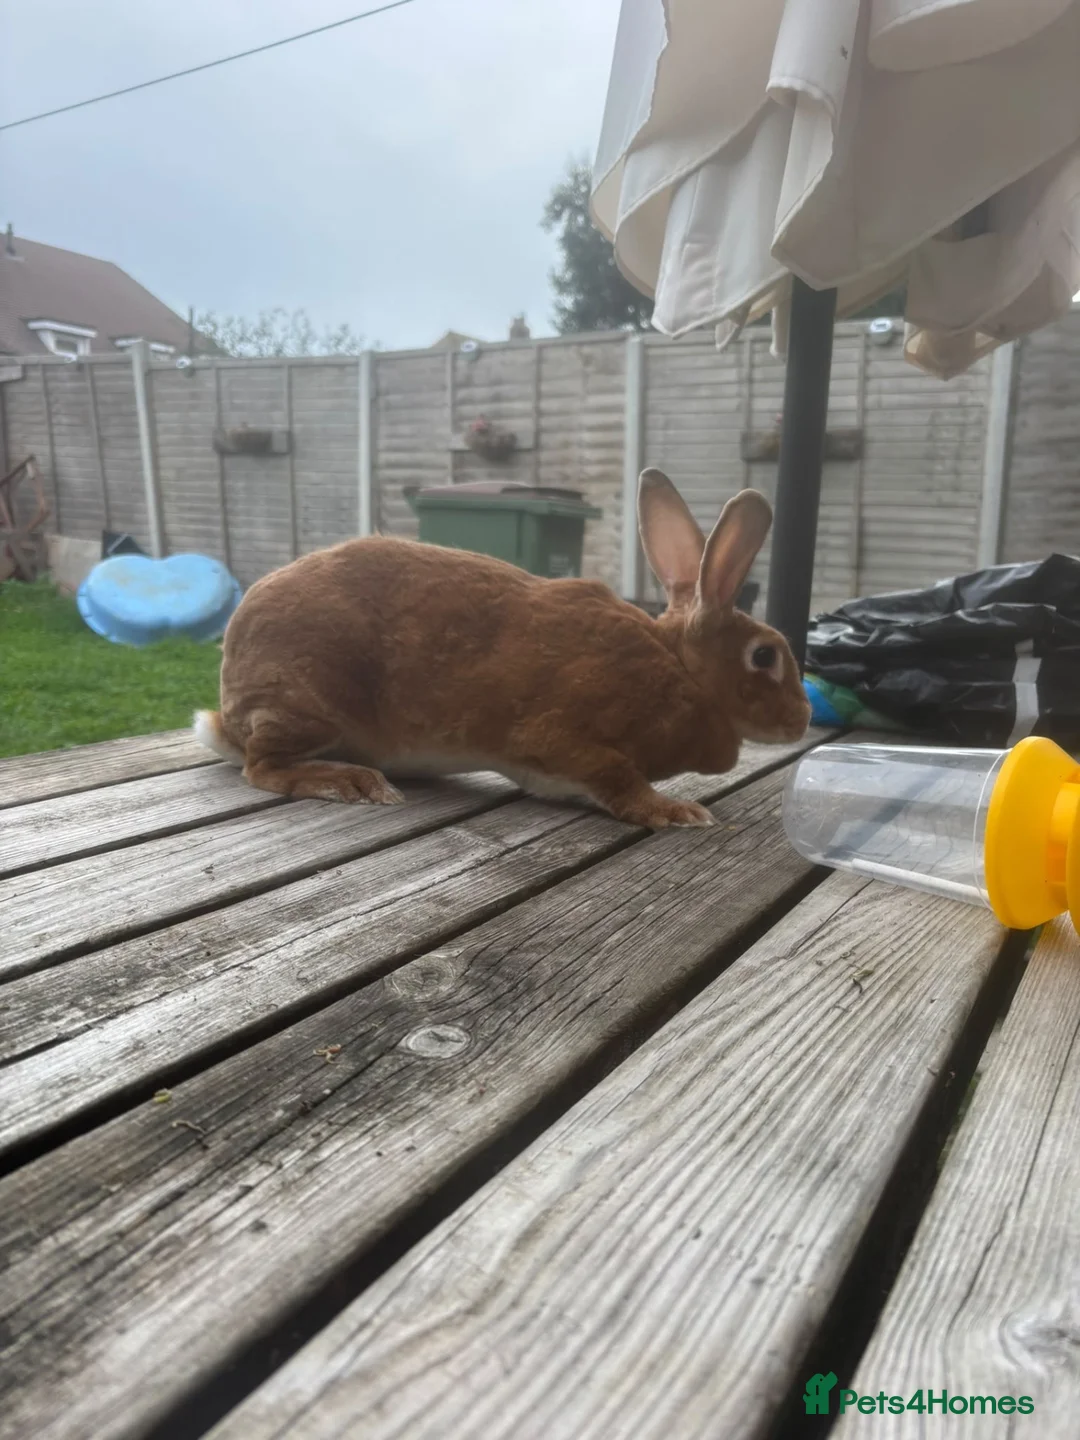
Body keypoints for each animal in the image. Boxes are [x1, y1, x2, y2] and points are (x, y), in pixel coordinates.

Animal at [194, 469, 810, 829]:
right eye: (764, 656)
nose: (803, 720)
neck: (680, 669)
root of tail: (226, 714)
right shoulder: (564, 740)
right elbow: (619, 778)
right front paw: (678, 811)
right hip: (307, 702)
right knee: (262, 766)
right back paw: (351, 782)